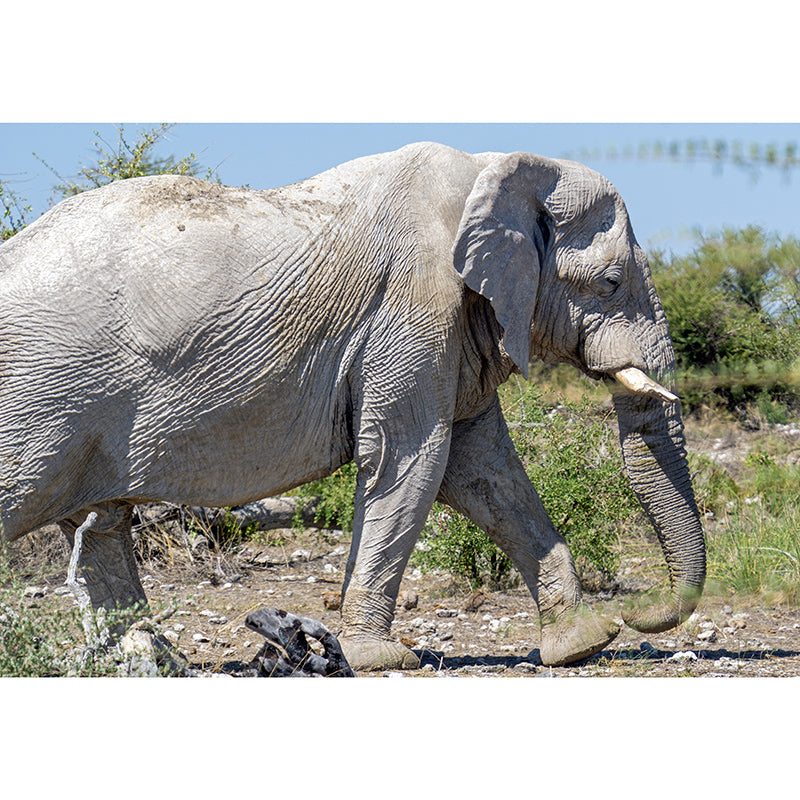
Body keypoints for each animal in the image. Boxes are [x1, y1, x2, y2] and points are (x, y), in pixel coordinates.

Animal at [0, 141, 705, 671]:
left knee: (100, 524)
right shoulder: (416, 305)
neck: (490, 168)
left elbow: (484, 471)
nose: (636, 613)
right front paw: (378, 658)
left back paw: (153, 662)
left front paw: (580, 644)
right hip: (42, 394)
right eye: (611, 283)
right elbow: (411, 458)